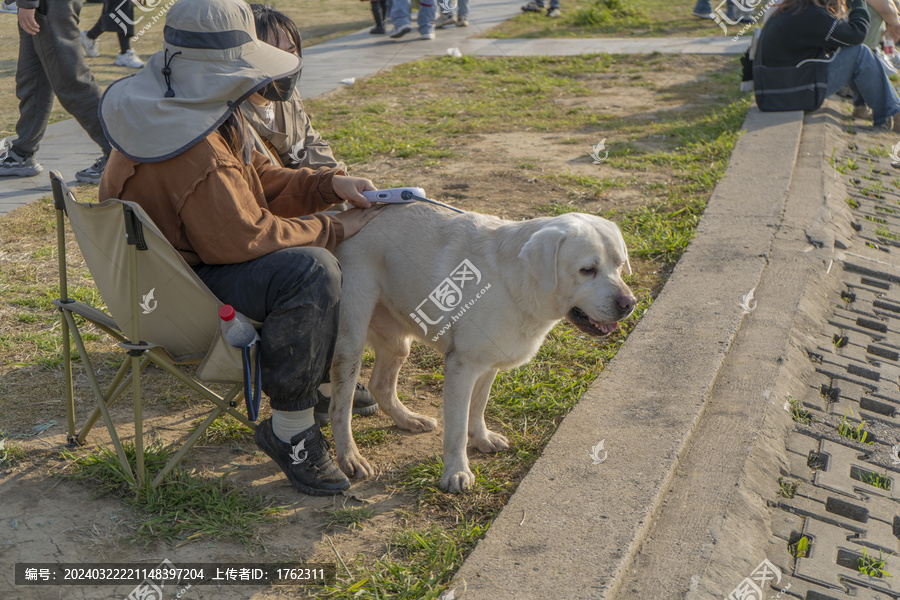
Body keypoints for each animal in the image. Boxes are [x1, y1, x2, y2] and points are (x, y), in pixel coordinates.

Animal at [328, 204, 632, 494]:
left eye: (619, 265)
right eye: (587, 270)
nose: (629, 303)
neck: (516, 284)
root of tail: (343, 214)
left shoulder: (488, 364)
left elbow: (478, 407)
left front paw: (482, 438)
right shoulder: (461, 367)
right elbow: (457, 429)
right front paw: (456, 472)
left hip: (398, 342)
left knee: (380, 385)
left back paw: (408, 419)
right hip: (350, 342)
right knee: (339, 407)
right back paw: (350, 458)